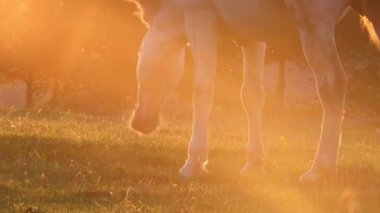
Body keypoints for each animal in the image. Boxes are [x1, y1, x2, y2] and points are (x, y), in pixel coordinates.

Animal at [128, 0, 380, 183]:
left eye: (138, 55)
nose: (138, 123)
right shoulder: (252, 37)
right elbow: (252, 96)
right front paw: (253, 163)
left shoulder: (199, 19)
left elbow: (202, 90)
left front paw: (194, 162)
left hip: (314, 26)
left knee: (332, 84)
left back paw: (320, 168)